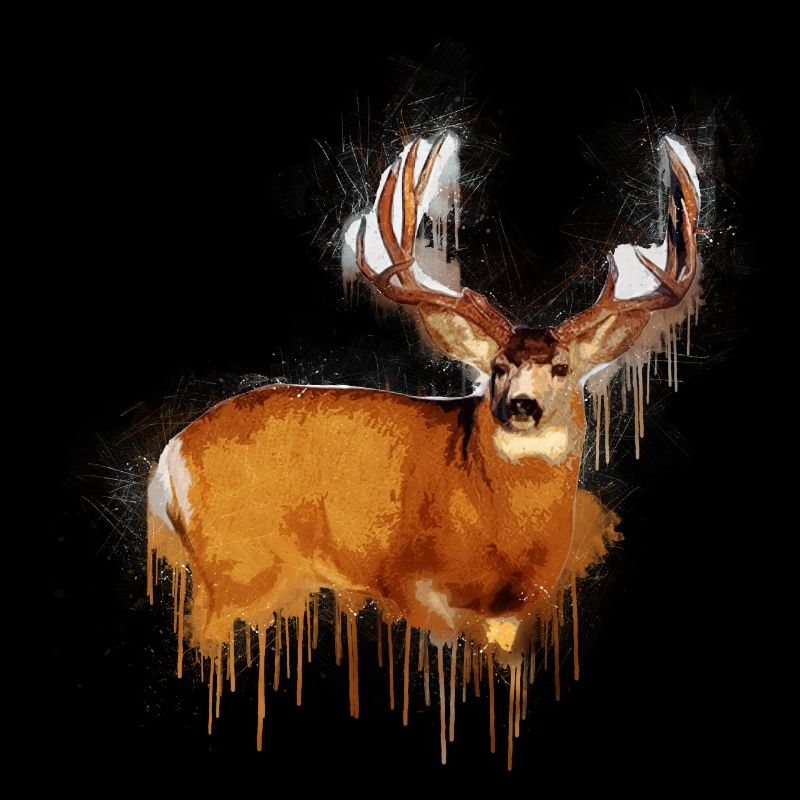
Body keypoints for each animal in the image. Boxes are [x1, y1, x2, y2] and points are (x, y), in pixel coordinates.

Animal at [146, 132, 700, 756]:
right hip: (234, 566)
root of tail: (169, 458)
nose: (521, 406)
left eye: (562, 368)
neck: (499, 522)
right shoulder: (411, 582)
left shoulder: (517, 609)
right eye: (498, 366)